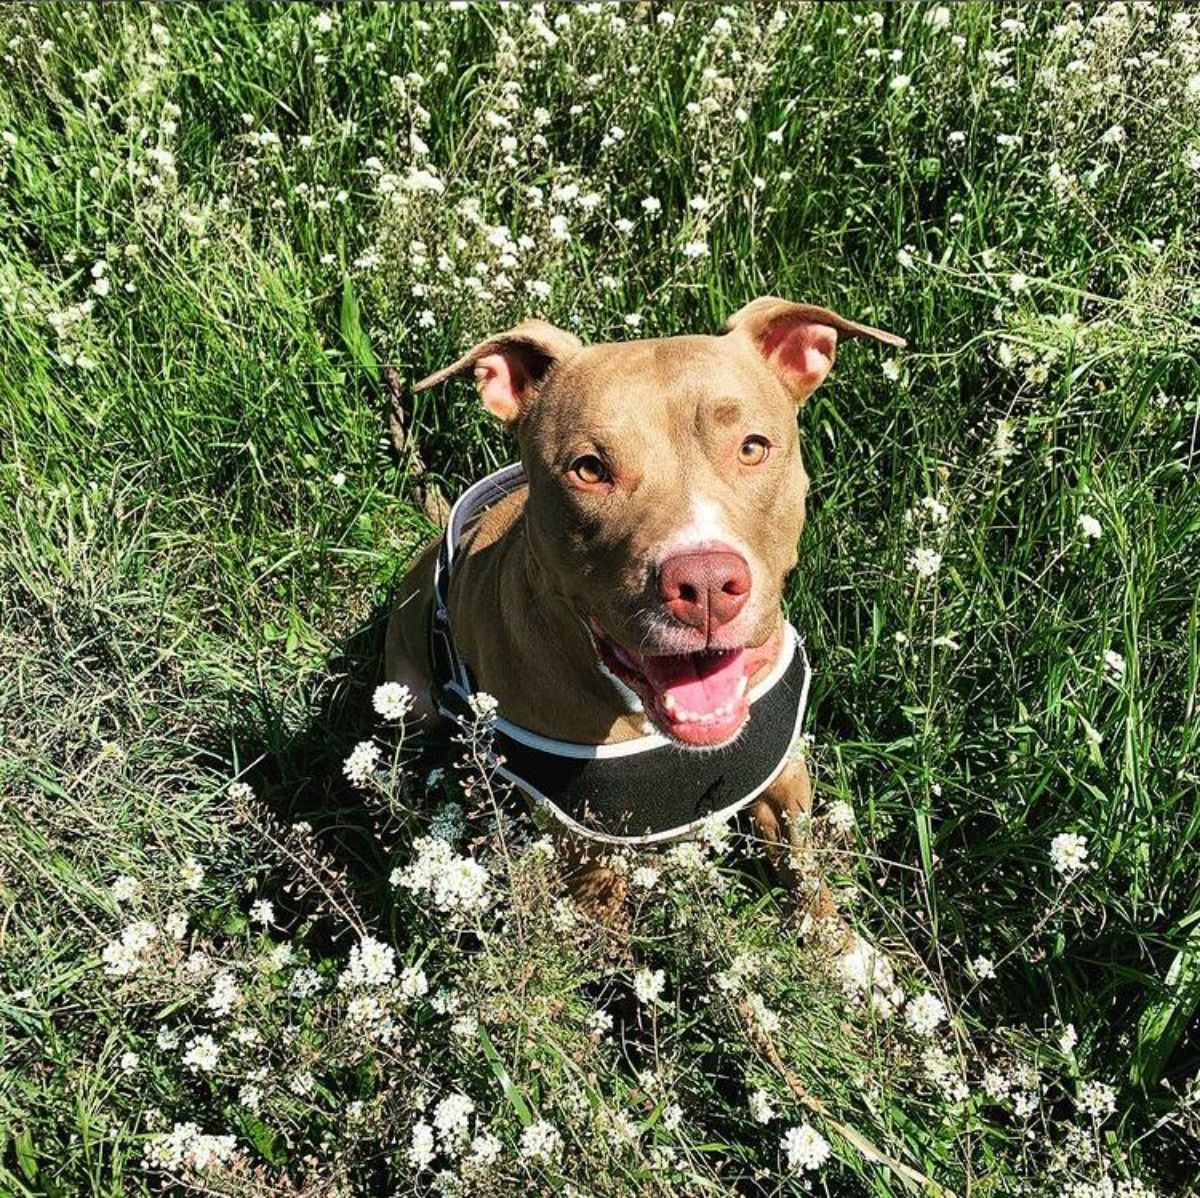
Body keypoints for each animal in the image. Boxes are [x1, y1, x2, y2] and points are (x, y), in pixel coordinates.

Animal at [388, 300, 902, 1003]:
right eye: (588, 468)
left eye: (753, 447)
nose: (706, 584)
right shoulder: (585, 848)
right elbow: (614, 944)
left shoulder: (783, 777)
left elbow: (805, 866)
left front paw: (844, 955)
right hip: (413, 698)